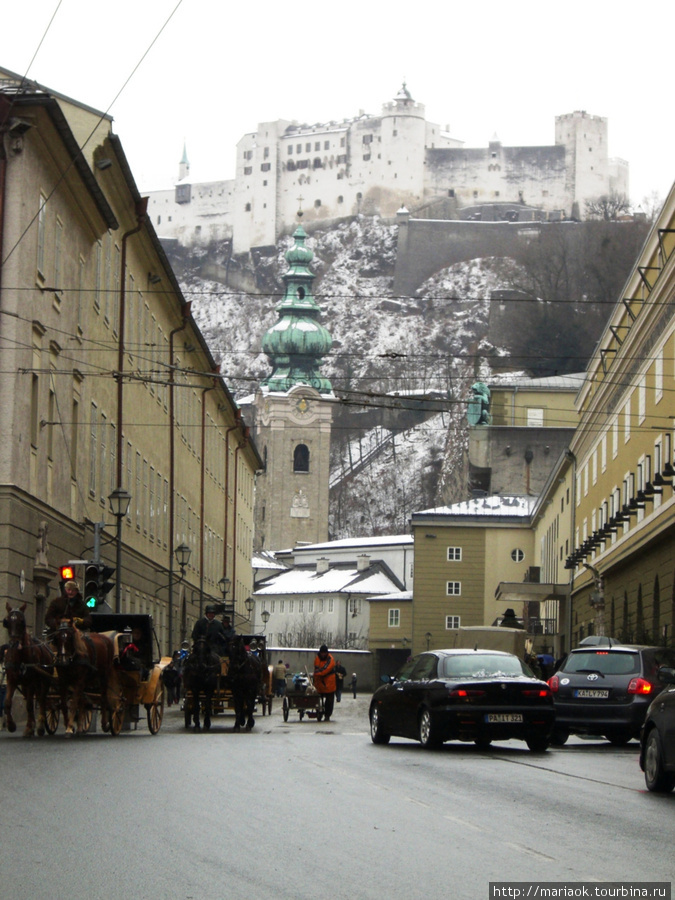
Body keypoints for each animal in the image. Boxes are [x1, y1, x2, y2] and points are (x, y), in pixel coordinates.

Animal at [2, 604, 53, 740]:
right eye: (7, 622)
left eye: (22, 622)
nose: (14, 644)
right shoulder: (11, 680)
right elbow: (7, 702)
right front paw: (11, 725)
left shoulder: (31, 681)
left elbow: (30, 705)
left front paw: (30, 728)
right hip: (26, 685)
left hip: (44, 682)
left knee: (42, 700)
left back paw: (40, 726)